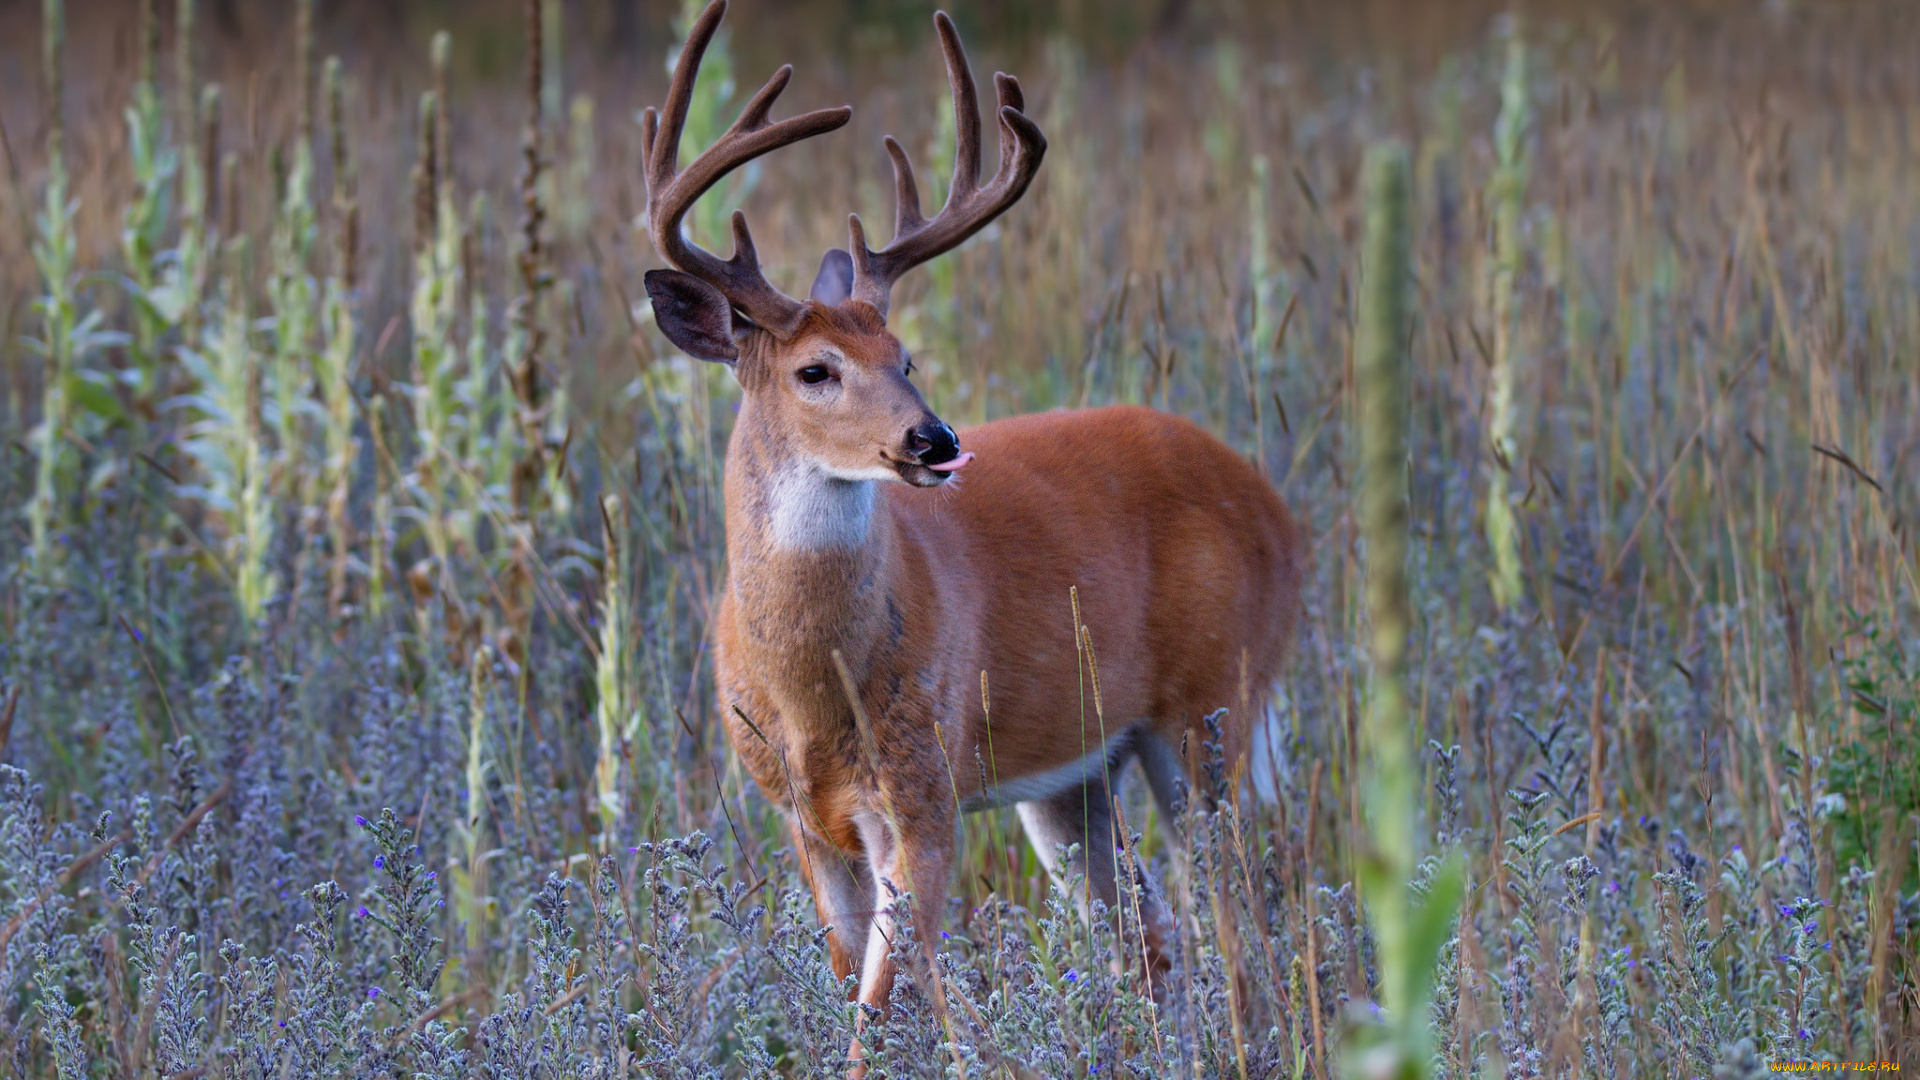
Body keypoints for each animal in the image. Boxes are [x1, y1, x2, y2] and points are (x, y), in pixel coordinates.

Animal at [641, 0, 1305, 1053]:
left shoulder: (925, 790)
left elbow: (885, 1008)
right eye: (816, 369)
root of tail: (1275, 508)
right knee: (1151, 929)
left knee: (1241, 913)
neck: (813, 688)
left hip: (1215, 706)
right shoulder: (802, 817)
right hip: (1078, 768)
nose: (936, 436)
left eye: (906, 356)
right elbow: (857, 987)